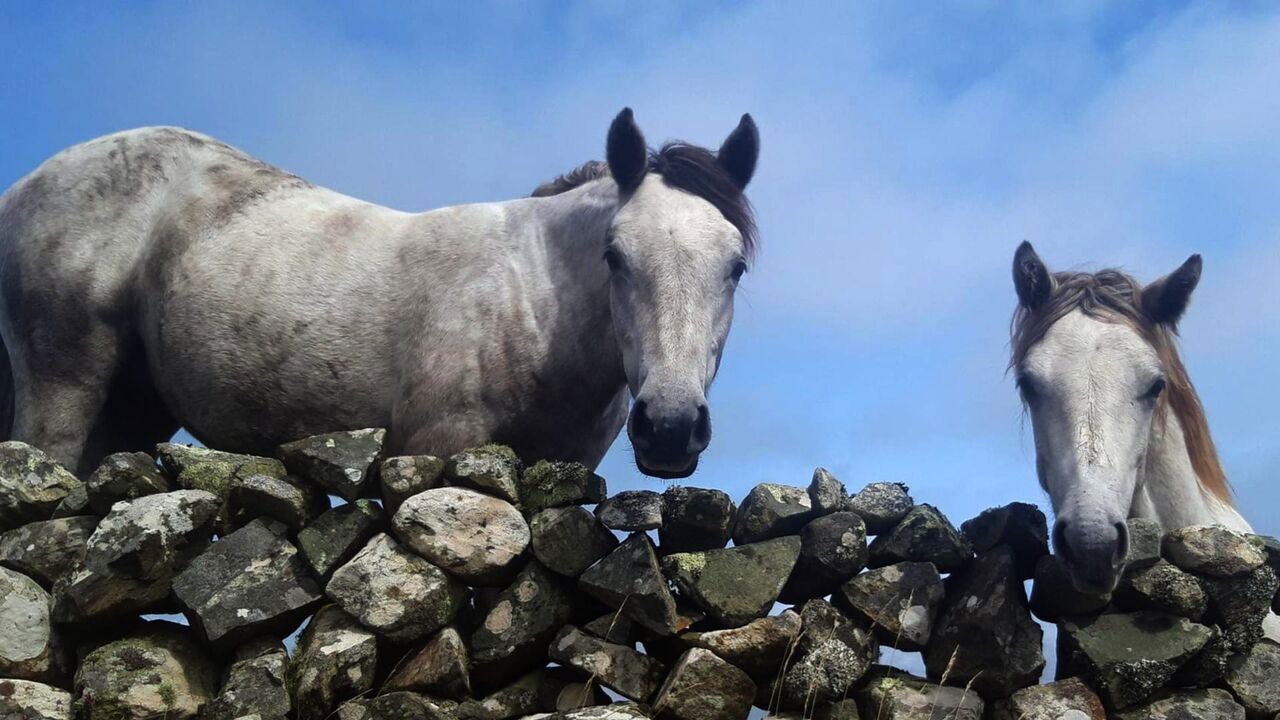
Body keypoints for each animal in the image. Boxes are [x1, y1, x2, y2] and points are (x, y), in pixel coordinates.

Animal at [0, 107, 757, 476]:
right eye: (615, 256)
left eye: (735, 266)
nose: (670, 425)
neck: (534, 307)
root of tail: (25, 186)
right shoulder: (435, 451)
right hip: (63, 392)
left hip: (134, 410)